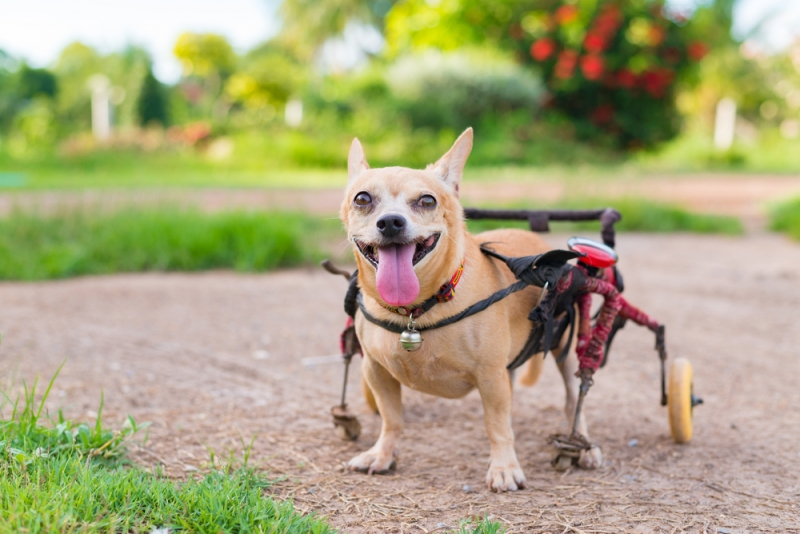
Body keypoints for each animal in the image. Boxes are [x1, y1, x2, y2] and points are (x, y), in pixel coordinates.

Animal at [338, 127, 600, 492]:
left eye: (427, 201)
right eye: (362, 199)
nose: (390, 222)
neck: (416, 310)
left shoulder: (490, 376)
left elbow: (496, 426)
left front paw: (504, 468)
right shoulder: (376, 372)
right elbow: (392, 419)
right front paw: (382, 454)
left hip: (567, 351)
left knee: (574, 399)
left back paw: (584, 447)